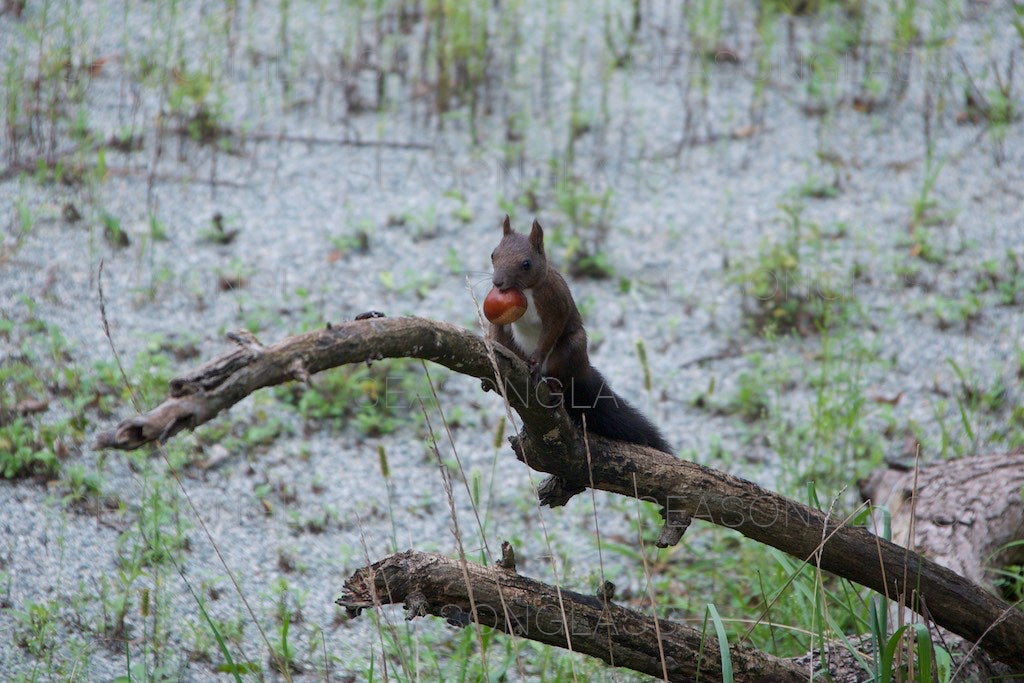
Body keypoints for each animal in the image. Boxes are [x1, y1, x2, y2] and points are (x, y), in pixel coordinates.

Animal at [487, 216, 671, 454]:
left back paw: (554, 387)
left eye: (526, 264)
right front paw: (491, 348)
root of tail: (583, 367)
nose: (498, 283)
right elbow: (496, 329)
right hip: (515, 348)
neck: (526, 290)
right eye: (493, 254)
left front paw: (536, 360)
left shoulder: (556, 303)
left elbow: (552, 330)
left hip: (570, 349)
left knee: (563, 377)